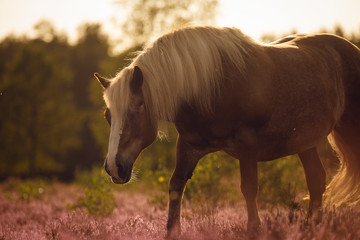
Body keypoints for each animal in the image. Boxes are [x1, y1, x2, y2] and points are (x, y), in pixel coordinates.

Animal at [93, 26, 360, 236]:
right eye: (108, 116)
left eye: (133, 113)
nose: (114, 167)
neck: (210, 87)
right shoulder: (188, 146)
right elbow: (175, 187)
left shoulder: (247, 145)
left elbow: (249, 189)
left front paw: (254, 229)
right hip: (305, 143)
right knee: (316, 181)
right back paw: (310, 228)